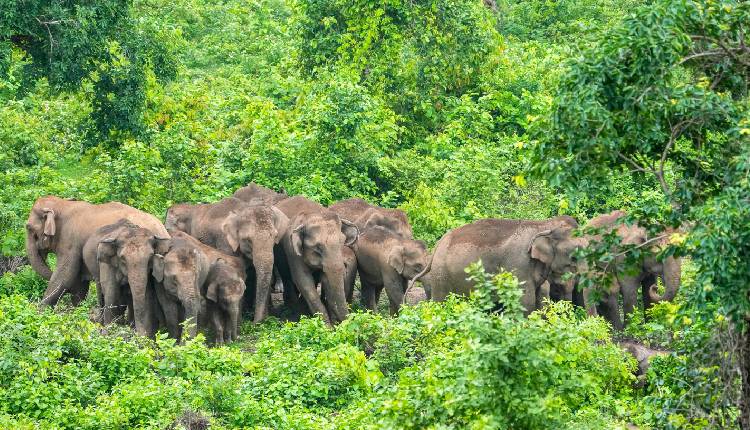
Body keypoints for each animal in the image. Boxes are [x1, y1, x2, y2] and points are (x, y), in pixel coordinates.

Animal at [26, 196, 168, 307]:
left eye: (29, 228)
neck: (63, 203)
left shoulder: (70, 240)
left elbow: (65, 276)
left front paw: (41, 309)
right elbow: (79, 285)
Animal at [274, 196, 358, 325]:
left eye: (342, 242)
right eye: (318, 247)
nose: (339, 323)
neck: (311, 214)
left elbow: (326, 279)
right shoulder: (293, 252)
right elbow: (303, 280)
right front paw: (325, 326)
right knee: (287, 277)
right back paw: (292, 310)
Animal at [416, 217, 590, 315]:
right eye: (574, 256)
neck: (545, 226)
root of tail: (438, 245)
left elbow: (540, 297)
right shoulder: (519, 264)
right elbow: (526, 301)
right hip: (441, 274)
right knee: (441, 303)